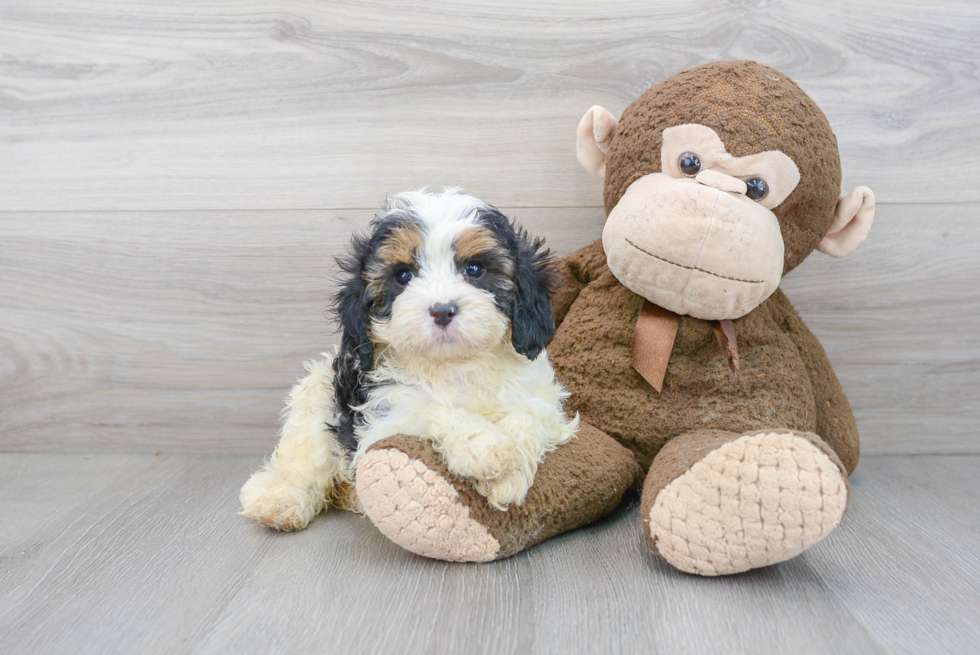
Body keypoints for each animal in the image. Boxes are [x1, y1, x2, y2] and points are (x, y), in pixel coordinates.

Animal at [239, 187, 576, 532]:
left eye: (474, 269)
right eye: (403, 275)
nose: (442, 310)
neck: (453, 364)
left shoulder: (543, 402)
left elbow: (528, 417)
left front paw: (509, 473)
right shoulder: (382, 420)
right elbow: (431, 410)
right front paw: (484, 448)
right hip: (317, 395)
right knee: (304, 460)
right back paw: (281, 500)